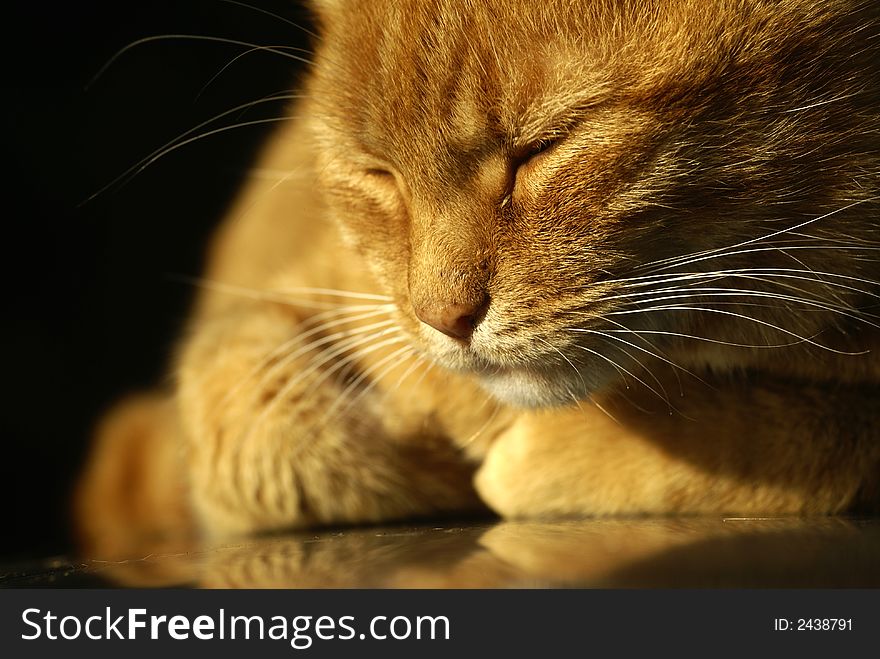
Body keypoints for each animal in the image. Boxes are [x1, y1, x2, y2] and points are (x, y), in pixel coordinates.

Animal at [74, 0, 880, 560]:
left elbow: (828, 432)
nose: (445, 317)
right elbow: (249, 429)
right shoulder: (254, 330)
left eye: (544, 148)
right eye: (379, 176)